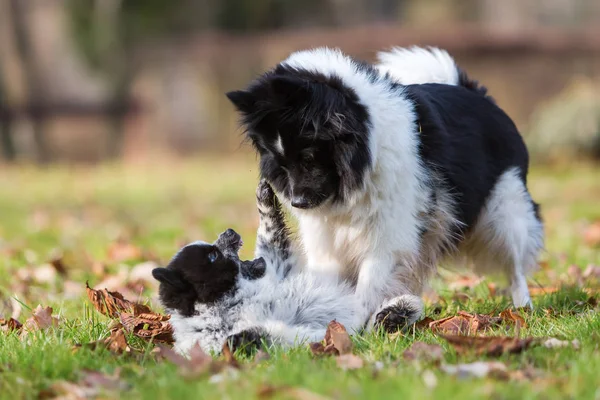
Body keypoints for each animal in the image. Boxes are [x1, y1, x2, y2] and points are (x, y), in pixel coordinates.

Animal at [152, 182, 364, 356]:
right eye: (213, 256)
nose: (229, 231)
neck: (229, 303)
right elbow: (254, 337)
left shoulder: (279, 268)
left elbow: (270, 234)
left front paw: (264, 195)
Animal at [225, 46, 544, 332]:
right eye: (280, 162)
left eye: (309, 156)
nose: (298, 202)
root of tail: (477, 93)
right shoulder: (327, 242)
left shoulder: (387, 240)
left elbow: (369, 286)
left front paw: (351, 326)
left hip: (506, 212)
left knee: (516, 266)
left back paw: (522, 309)